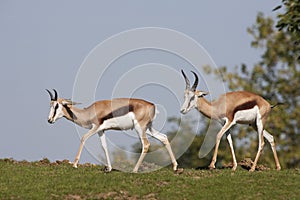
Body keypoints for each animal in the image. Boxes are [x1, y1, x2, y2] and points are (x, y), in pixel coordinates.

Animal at [46, 89, 180, 173]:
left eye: (56, 106)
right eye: (50, 105)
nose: (49, 120)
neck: (88, 112)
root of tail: (152, 105)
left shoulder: (95, 127)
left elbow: (83, 138)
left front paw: (74, 164)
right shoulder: (101, 131)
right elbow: (104, 147)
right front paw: (109, 168)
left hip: (140, 128)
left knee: (146, 144)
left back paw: (134, 170)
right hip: (148, 128)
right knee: (164, 137)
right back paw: (174, 166)